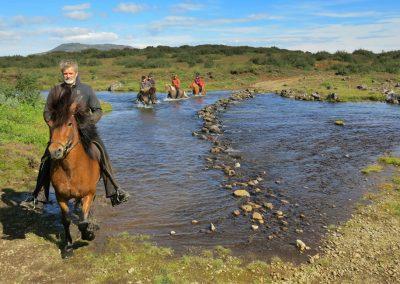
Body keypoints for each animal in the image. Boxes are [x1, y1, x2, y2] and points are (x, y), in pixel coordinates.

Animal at [46, 88, 101, 255]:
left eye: (70, 123)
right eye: (50, 124)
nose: (55, 151)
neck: (72, 170)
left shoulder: (89, 193)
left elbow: (83, 221)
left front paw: (89, 234)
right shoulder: (61, 197)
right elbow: (66, 220)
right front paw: (68, 246)